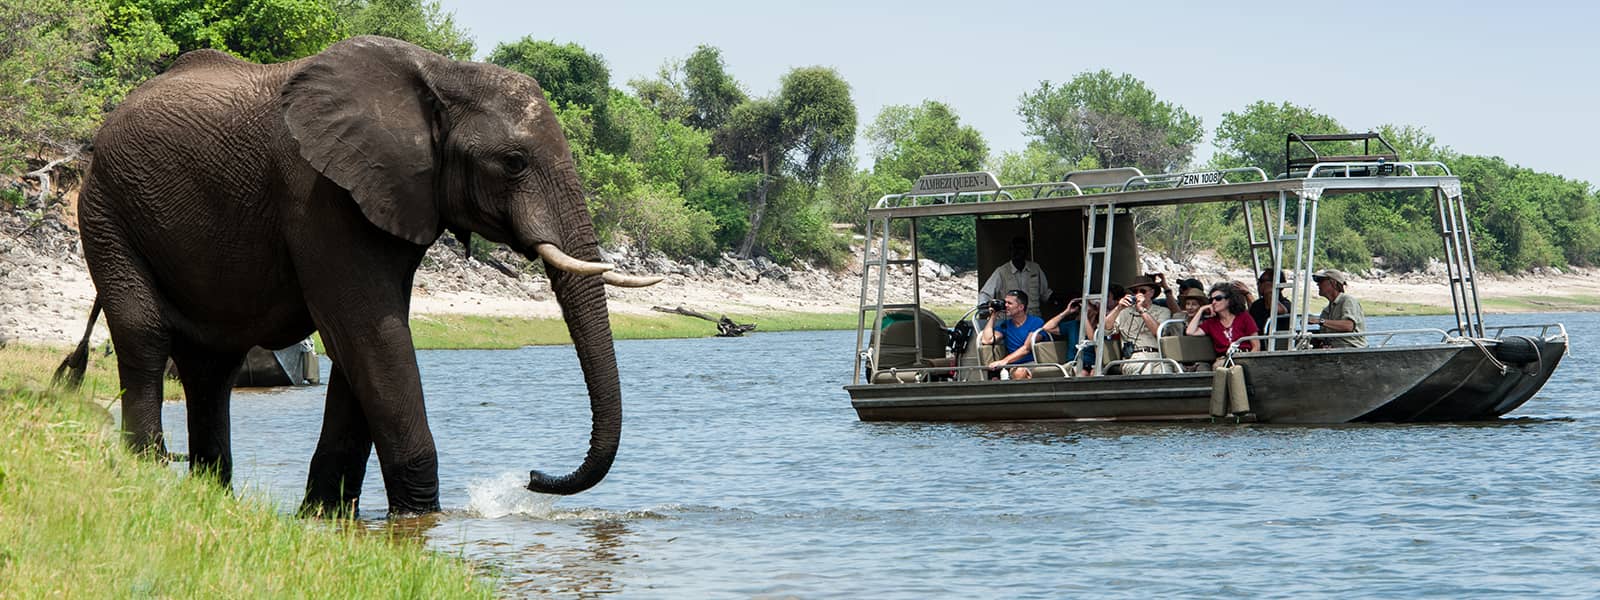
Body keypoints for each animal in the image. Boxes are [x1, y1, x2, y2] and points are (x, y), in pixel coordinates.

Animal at [58, 36, 659, 516]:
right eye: (514, 163)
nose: (532, 477)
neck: (441, 75)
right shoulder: (319, 192)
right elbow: (370, 333)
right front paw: (418, 517)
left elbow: (364, 345)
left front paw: (325, 514)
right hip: (106, 209)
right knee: (144, 334)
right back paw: (150, 470)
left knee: (211, 369)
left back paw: (210, 494)